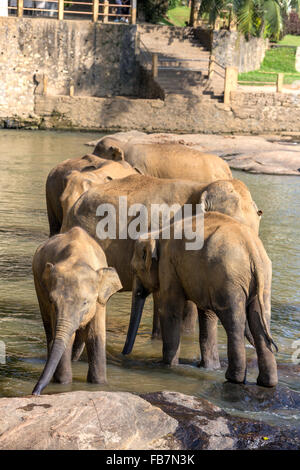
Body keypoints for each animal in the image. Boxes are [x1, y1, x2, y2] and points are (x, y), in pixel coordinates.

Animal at [31, 226, 122, 394]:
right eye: (53, 301)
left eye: (85, 302)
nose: (35, 393)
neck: (78, 258)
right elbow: (66, 336)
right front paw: (64, 384)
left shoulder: (99, 301)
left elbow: (95, 336)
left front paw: (99, 384)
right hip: (38, 285)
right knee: (49, 331)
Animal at [123, 211, 278, 388]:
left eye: (134, 270)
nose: (124, 355)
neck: (157, 234)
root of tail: (252, 249)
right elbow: (207, 314)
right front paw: (209, 368)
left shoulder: (168, 266)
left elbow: (170, 311)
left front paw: (166, 366)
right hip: (262, 280)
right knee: (259, 323)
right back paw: (266, 383)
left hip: (228, 279)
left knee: (234, 323)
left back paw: (233, 379)